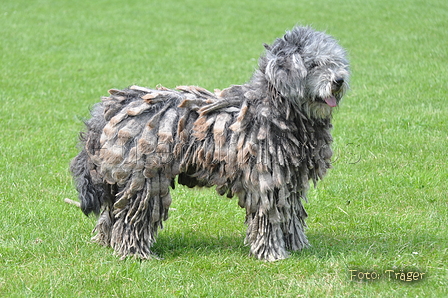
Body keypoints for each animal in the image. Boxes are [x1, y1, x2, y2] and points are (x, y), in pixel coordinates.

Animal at [70, 26, 350, 260]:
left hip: (120, 178)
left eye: (335, 62)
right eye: (313, 64)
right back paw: (134, 251)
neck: (276, 110)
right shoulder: (265, 178)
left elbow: (290, 213)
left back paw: (106, 241)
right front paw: (272, 252)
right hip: (145, 178)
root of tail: (114, 104)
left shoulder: (289, 180)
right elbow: (268, 217)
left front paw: (297, 245)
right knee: (133, 216)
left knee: (112, 211)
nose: (339, 80)